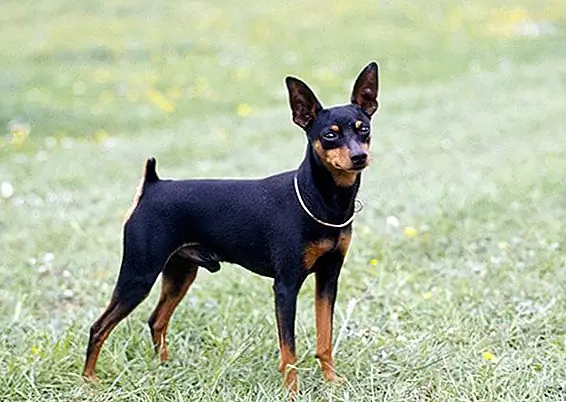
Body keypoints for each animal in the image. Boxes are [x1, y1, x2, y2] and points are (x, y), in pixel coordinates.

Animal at [83, 62, 380, 393]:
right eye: (330, 135)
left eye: (364, 129)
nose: (359, 156)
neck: (322, 199)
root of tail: (152, 185)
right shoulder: (286, 286)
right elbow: (288, 350)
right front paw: (292, 391)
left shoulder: (328, 279)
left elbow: (324, 337)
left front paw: (332, 381)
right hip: (139, 275)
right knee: (98, 327)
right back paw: (88, 380)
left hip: (180, 273)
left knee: (156, 320)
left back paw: (165, 367)